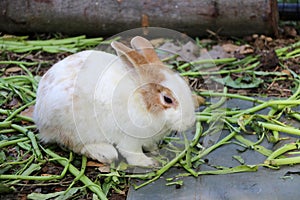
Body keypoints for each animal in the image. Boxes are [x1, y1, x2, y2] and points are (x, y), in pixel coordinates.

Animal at [33, 36, 197, 167]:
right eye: (167, 99)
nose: (190, 122)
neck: (143, 102)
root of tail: (40, 115)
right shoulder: (130, 139)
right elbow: (133, 154)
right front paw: (149, 163)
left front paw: (154, 150)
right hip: (74, 128)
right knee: (75, 145)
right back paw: (104, 153)